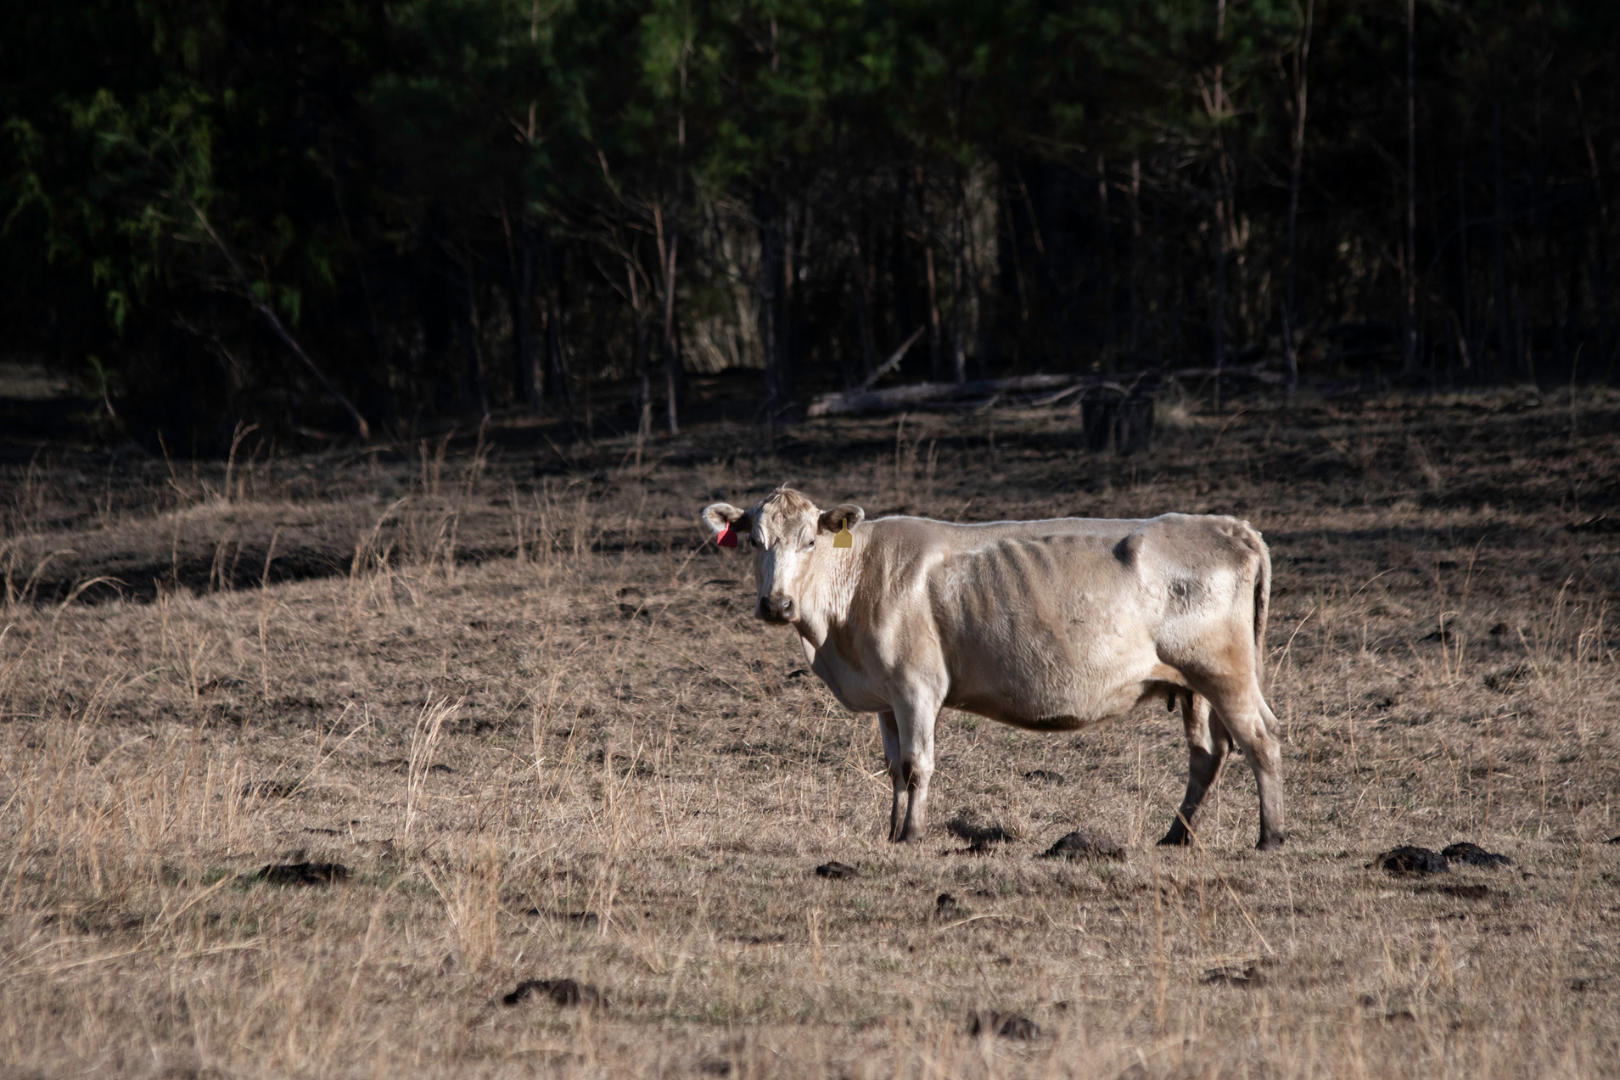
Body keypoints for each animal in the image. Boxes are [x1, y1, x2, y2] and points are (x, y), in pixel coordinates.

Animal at [703, 488, 1283, 854]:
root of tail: (1228, 525)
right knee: (1207, 754)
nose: (776, 604)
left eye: (810, 541)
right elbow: (893, 768)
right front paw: (891, 831)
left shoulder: (917, 687)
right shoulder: (886, 698)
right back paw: (1176, 835)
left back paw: (1271, 836)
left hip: (1225, 670)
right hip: (1194, 684)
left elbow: (917, 764)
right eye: (754, 541)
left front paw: (911, 836)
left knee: (1260, 738)